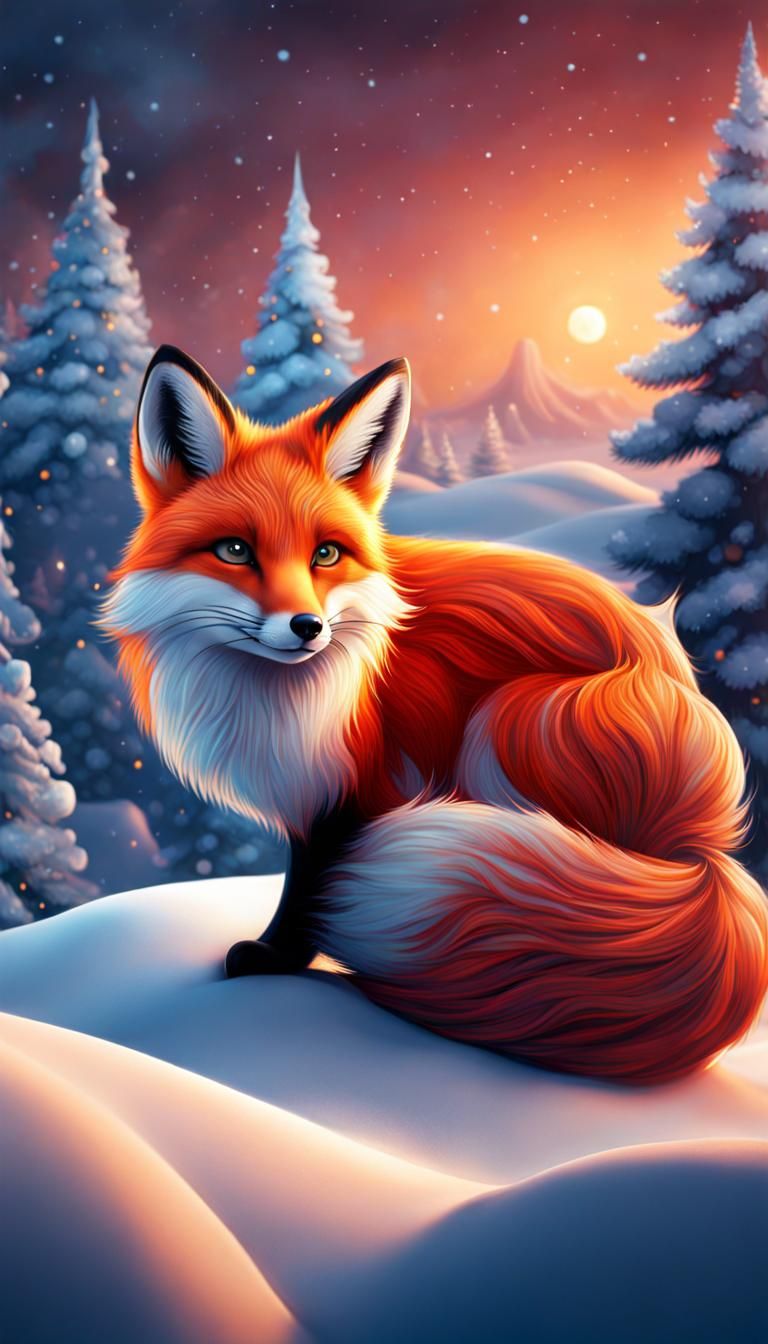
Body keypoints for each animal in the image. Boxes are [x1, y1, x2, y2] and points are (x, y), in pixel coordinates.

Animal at [101, 344, 768, 1084]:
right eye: (235, 551)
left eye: (325, 554)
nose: (307, 628)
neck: (283, 697)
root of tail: (703, 851)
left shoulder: (356, 791)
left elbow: (310, 891)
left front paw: (274, 960)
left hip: (508, 720)